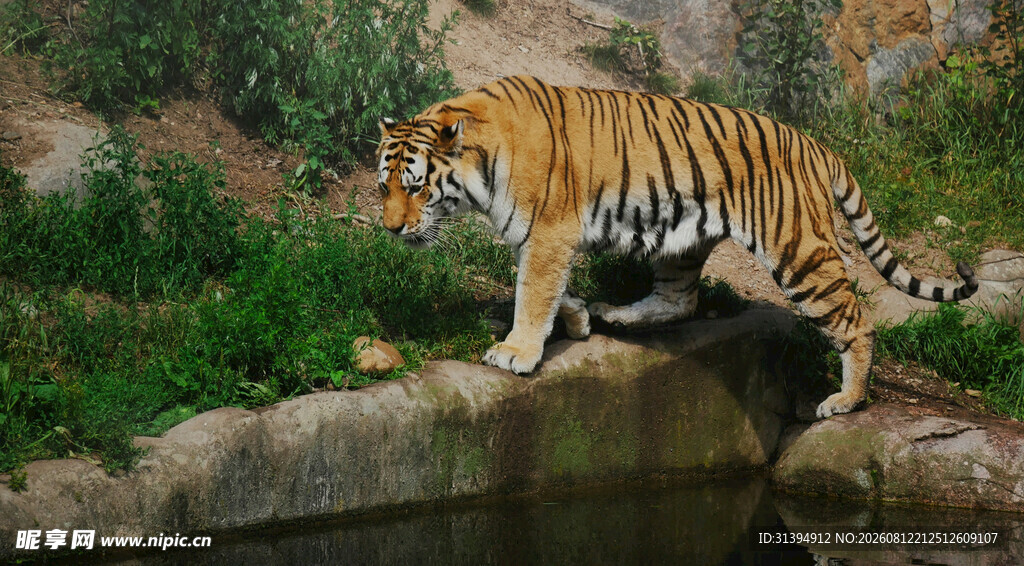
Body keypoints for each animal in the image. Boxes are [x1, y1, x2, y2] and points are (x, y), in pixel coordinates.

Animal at [375, 75, 979, 419]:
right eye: (385, 186)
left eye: (417, 187)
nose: (391, 230)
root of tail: (813, 143)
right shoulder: (546, 237)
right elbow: (545, 288)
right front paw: (575, 317)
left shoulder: (550, 230)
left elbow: (533, 290)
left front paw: (517, 351)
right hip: (682, 241)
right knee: (680, 300)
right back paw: (614, 314)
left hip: (799, 251)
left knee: (856, 322)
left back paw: (844, 402)